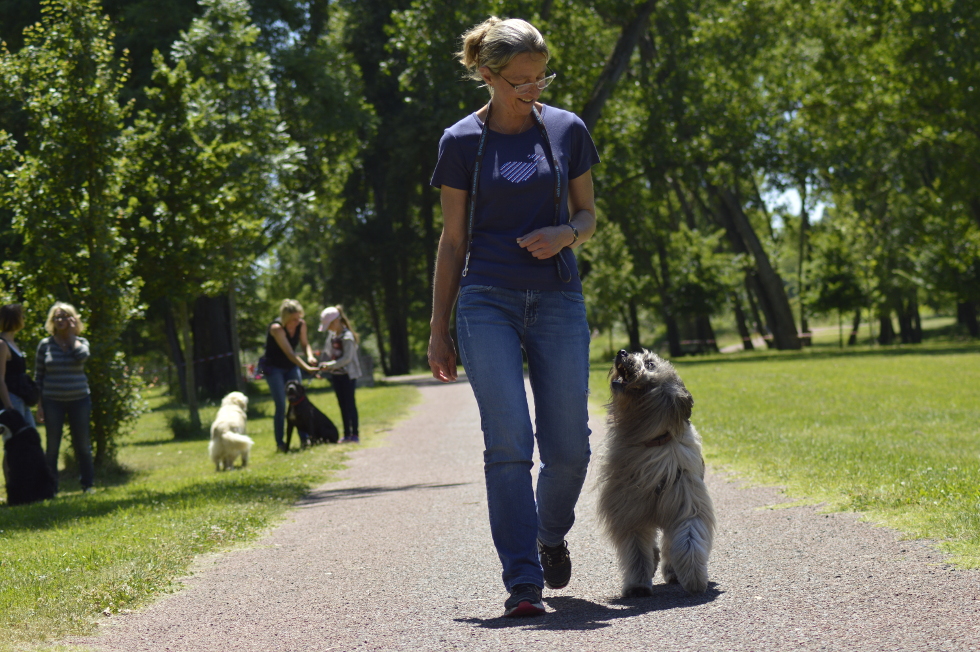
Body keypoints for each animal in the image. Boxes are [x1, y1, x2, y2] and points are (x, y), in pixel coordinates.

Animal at [592, 352, 716, 596]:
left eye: (649, 363)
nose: (622, 352)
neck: (655, 439)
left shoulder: (686, 504)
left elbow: (689, 538)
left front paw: (694, 579)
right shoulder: (631, 512)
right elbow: (637, 550)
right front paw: (638, 584)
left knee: (669, 543)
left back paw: (673, 571)